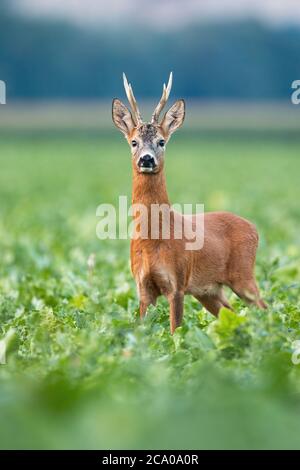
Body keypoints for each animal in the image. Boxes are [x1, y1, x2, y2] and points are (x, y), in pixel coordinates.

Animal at [111, 72, 266, 334]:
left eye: (161, 141)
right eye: (133, 142)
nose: (146, 159)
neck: (154, 240)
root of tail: (254, 227)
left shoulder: (178, 283)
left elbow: (176, 330)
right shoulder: (143, 287)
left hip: (243, 275)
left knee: (265, 308)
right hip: (209, 290)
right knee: (231, 313)